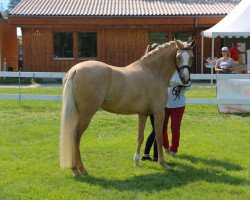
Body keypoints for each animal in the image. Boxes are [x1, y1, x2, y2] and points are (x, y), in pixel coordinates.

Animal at [59, 39, 194, 175]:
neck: (152, 73)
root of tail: (75, 70)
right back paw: (80, 169)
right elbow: (159, 137)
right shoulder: (159, 113)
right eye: (178, 57)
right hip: (86, 114)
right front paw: (163, 164)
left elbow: (140, 137)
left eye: (192, 57)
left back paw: (76, 169)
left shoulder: (143, 114)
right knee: (75, 137)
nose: (185, 79)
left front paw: (137, 162)